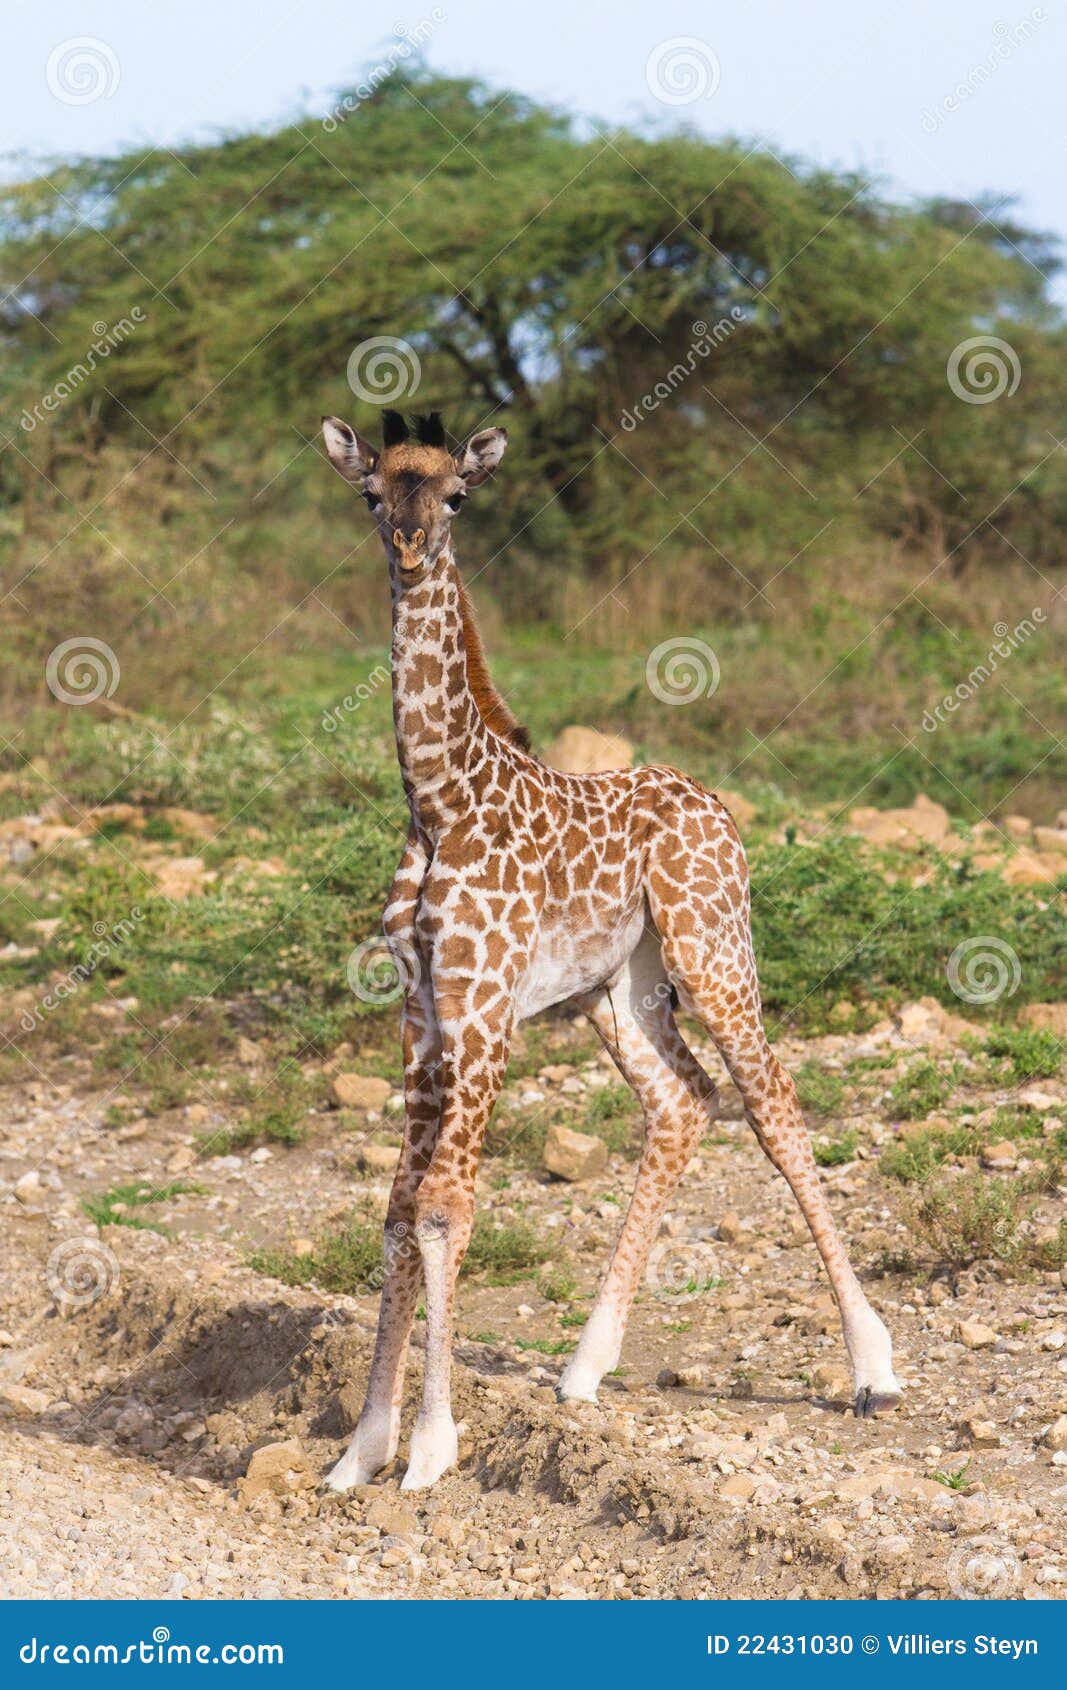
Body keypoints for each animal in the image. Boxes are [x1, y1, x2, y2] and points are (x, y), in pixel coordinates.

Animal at [320, 407, 901, 1492]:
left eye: (454, 495)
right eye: (372, 492)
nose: (409, 549)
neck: (438, 802)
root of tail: (715, 802)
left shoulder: (484, 1006)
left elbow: (444, 1208)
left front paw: (428, 1449)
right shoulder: (420, 1012)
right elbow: (395, 1209)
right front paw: (359, 1449)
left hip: (714, 949)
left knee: (772, 1101)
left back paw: (873, 1369)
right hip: (617, 990)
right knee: (683, 1100)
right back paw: (584, 1367)